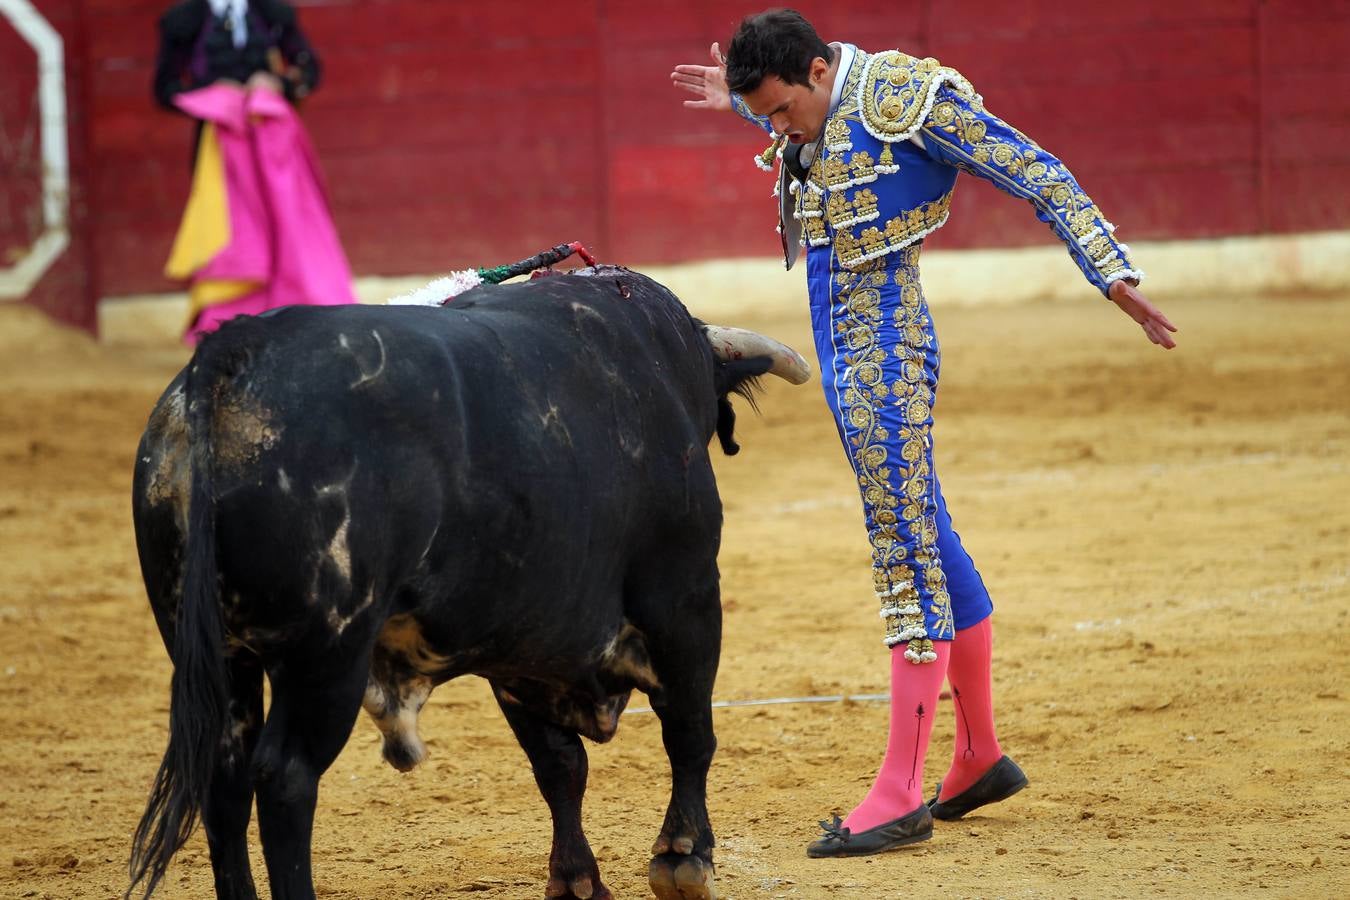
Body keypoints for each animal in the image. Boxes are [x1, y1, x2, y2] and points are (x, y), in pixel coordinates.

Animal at [126, 271, 804, 900]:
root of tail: (231, 360)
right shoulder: (685, 600)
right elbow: (688, 731)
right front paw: (685, 858)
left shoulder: (523, 643)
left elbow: (559, 764)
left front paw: (576, 879)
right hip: (326, 655)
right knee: (285, 778)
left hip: (218, 652)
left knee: (223, 775)